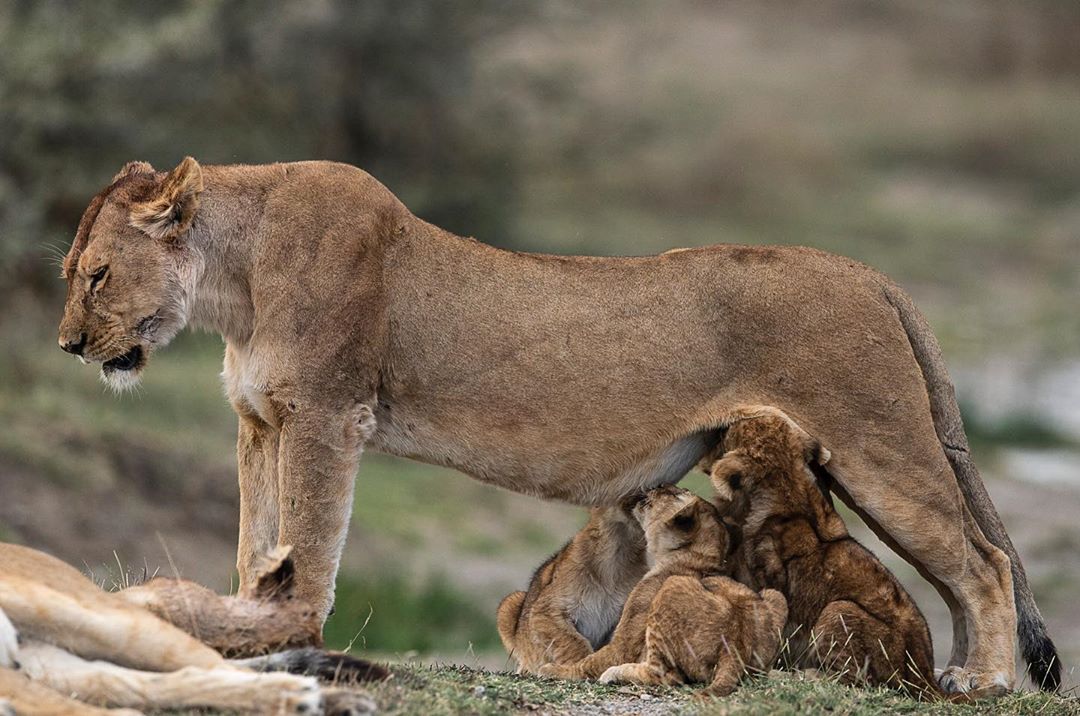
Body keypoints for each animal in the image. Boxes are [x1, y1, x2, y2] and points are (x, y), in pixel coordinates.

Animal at [54, 156, 1058, 695]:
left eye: (97, 274)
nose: (67, 344)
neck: (233, 281)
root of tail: (871, 274)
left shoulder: (327, 417)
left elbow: (303, 555)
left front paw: (265, 631)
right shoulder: (260, 423)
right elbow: (255, 546)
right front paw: (230, 625)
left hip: (879, 447)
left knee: (982, 560)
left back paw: (984, 679)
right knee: (972, 563)